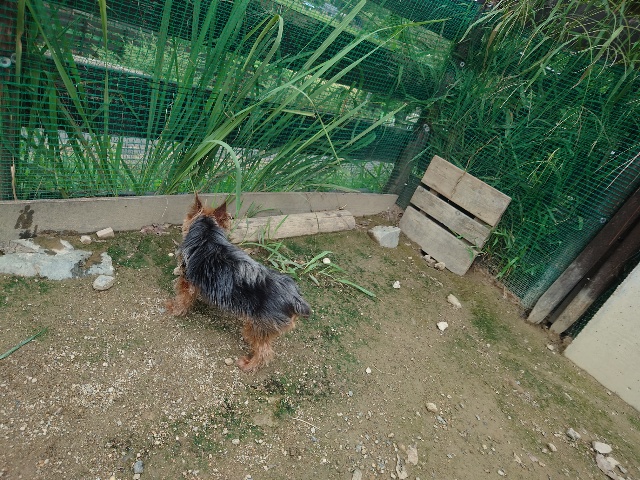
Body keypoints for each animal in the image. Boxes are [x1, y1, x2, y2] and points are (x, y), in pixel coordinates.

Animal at [166, 194, 311, 372]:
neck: (207, 236)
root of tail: (295, 299)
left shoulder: (188, 281)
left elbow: (182, 299)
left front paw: (173, 308)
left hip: (259, 325)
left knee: (264, 351)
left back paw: (248, 364)